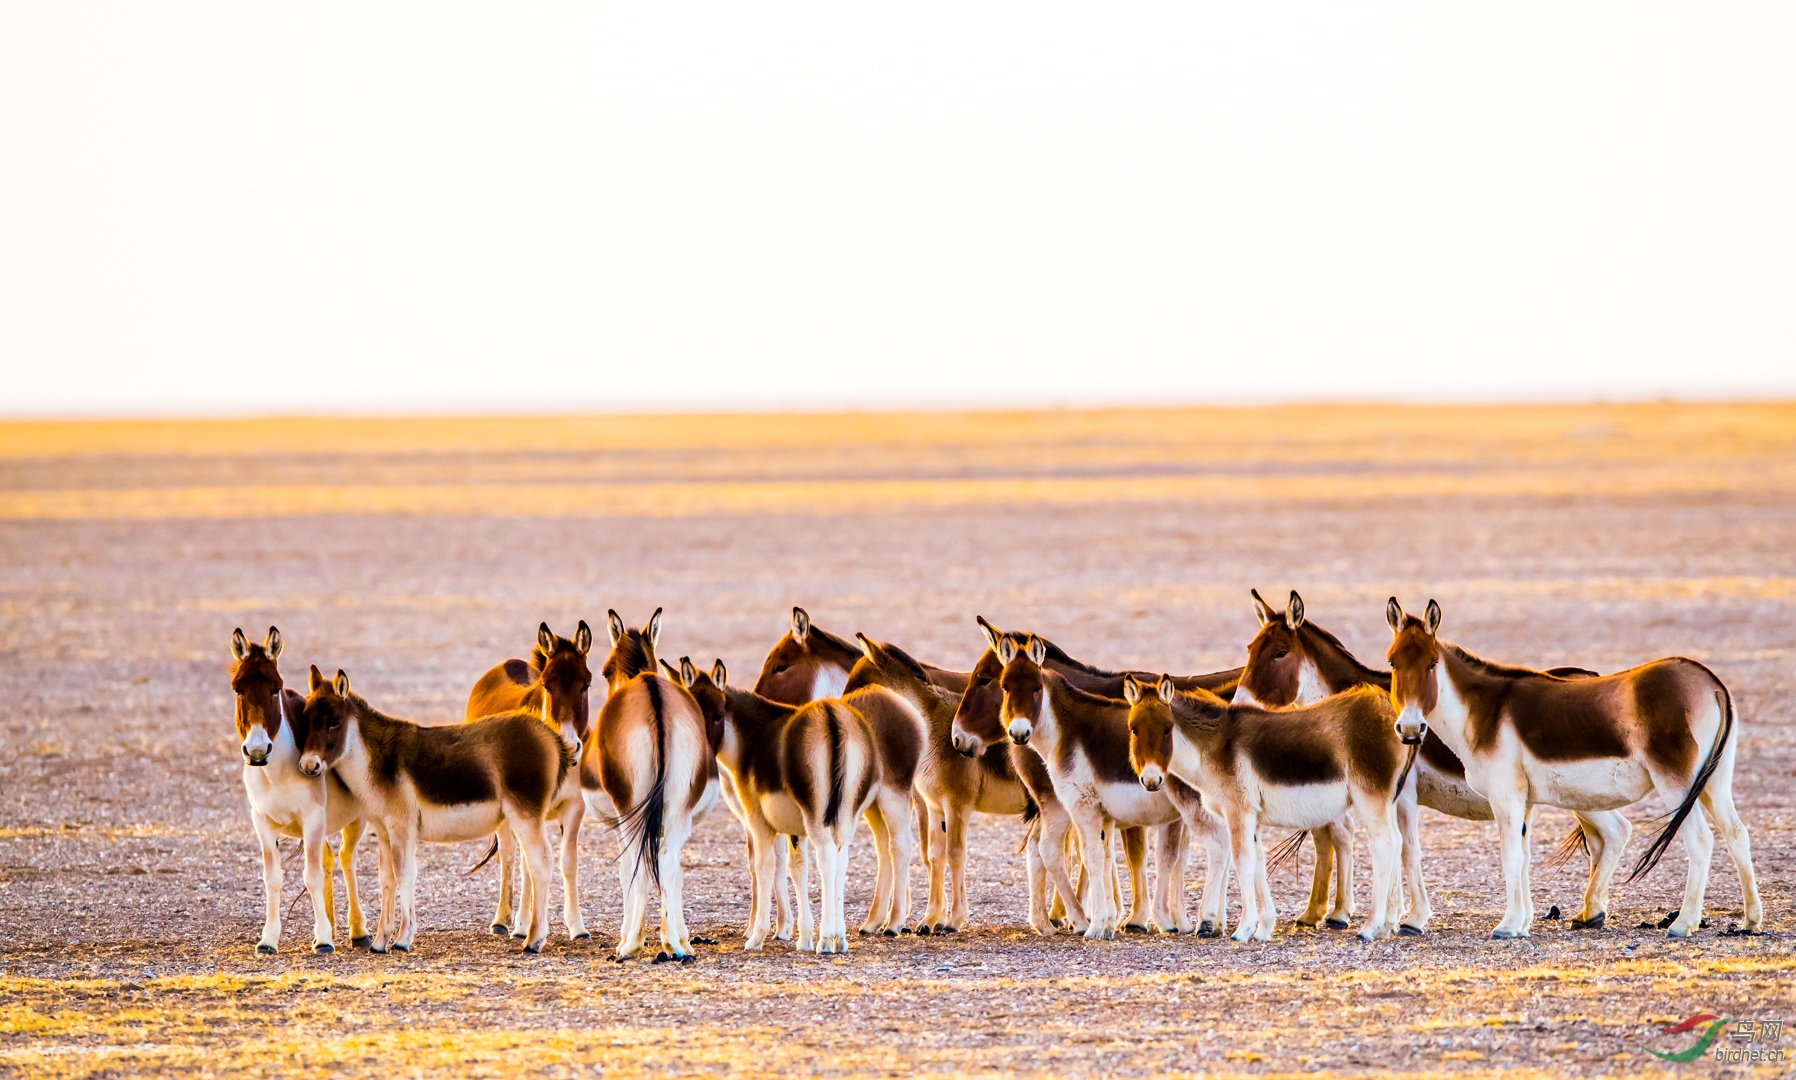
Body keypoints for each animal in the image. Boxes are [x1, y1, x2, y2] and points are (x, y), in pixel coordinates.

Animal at [229, 621, 366, 948]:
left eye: (275, 688)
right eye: (238, 688)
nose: (257, 751)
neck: (276, 772)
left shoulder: (313, 818)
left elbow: (311, 875)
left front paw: (324, 942)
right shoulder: (262, 822)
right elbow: (274, 877)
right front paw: (268, 940)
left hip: (357, 819)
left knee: (347, 858)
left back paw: (358, 932)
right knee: (330, 859)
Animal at [298, 664, 571, 948]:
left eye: (334, 721)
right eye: (305, 720)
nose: (308, 765)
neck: (378, 759)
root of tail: (548, 735)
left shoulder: (402, 827)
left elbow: (405, 874)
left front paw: (403, 939)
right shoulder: (384, 831)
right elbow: (387, 879)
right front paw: (380, 942)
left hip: (525, 816)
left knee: (541, 864)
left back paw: (534, 941)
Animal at [463, 618, 596, 941]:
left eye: (586, 685)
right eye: (547, 685)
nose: (569, 745)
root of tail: (508, 663)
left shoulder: (574, 808)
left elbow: (568, 862)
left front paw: (577, 927)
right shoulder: (527, 808)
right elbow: (527, 864)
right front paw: (527, 926)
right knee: (510, 857)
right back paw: (505, 921)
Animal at [1386, 596, 1752, 934]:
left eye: (1432, 664)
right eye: (1392, 663)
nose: (1409, 729)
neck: (1486, 710)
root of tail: (1710, 681)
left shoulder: (1505, 796)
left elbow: (1510, 857)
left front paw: (1507, 926)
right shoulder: (1524, 800)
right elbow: (1523, 859)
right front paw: (1521, 924)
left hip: (1676, 784)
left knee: (1701, 840)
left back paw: (1683, 923)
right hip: (1713, 781)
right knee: (1736, 833)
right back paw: (1751, 921)